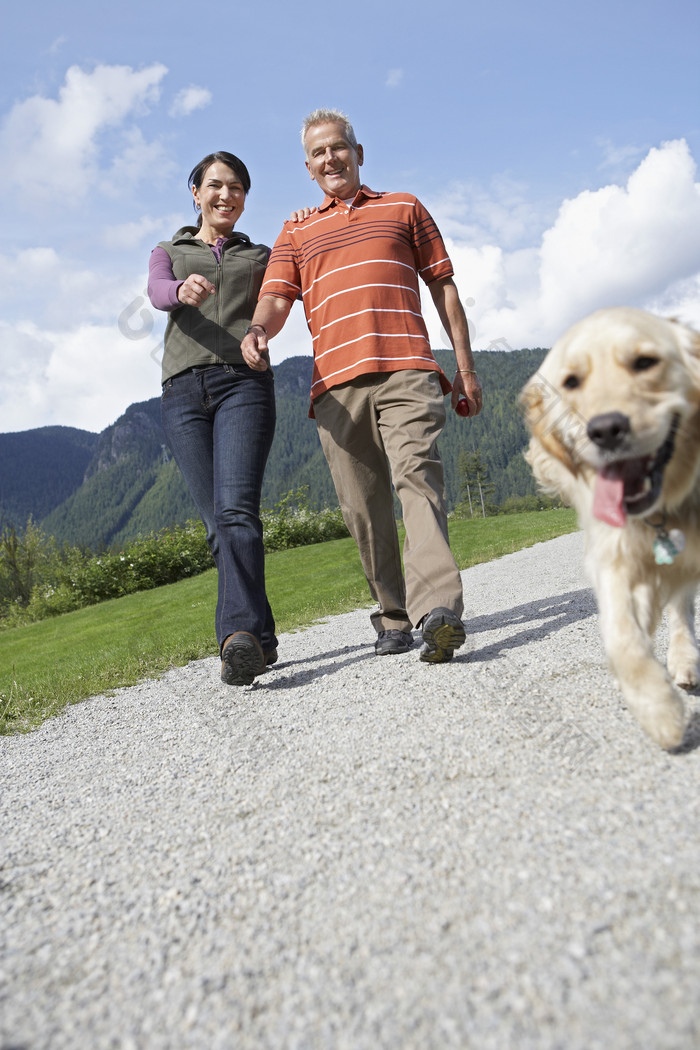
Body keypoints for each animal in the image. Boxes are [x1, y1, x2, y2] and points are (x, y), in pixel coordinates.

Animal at [520, 304, 700, 747]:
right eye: (571, 381)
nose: (605, 430)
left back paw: (683, 659)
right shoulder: (614, 555)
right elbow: (623, 636)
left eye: (645, 362)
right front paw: (659, 709)